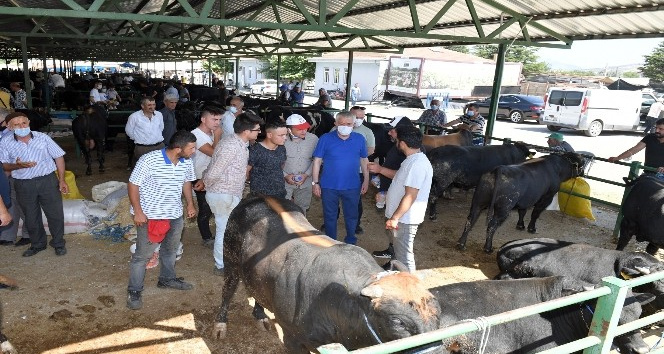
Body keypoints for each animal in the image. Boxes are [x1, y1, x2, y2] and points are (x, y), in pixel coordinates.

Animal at [214, 195, 440, 352]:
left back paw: (260, 315)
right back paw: (220, 324)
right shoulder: (292, 338)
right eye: (397, 322)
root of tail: (257, 197)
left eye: (438, 312)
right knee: (227, 291)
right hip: (230, 261)